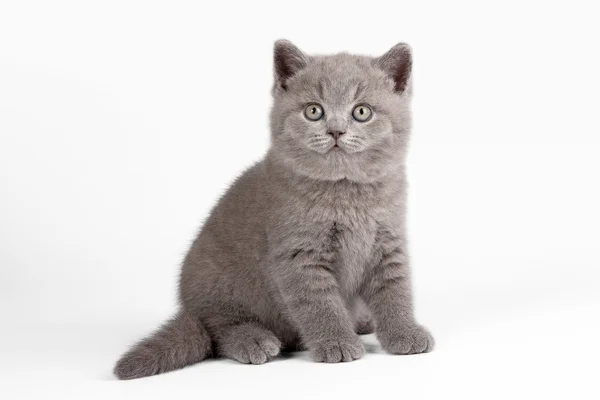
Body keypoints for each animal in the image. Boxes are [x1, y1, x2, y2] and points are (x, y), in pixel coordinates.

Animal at [113, 40, 432, 382]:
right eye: (314, 111)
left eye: (362, 112)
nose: (336, 131)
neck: (346, 193)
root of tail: (190, 310)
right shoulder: (298, 256)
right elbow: (319, 304)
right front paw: (336, 343)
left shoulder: (387, 243)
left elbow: (395, 290)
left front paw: (405, 333)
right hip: (221, 287)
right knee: (218, 331)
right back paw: (253, 340)